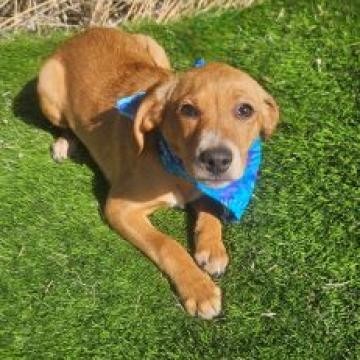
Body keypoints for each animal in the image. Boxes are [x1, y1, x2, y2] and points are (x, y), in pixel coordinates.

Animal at [37, 28, 278, 320]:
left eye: (245, 110)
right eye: (188, 110)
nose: (217, 159)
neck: (177, 169)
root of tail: (81, 34)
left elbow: (211, 209)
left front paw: (211, 248)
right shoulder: (119, 207)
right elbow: (167, 244)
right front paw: (199, 289)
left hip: (154, 47)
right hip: (47, 92)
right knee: (64, 125)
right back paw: (64, 143)